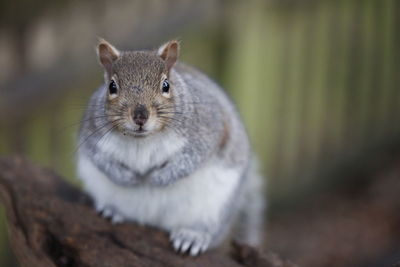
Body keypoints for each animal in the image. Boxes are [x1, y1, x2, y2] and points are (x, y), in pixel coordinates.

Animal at [77, 38, 266, 256]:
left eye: (166, 85)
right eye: (111, 86)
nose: (140, 116)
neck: (142, 140)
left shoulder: (209, 131)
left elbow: (191, 159)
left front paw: (157, 178)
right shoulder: (91, 136)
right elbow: (100, 159)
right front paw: (129, 178)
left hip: (215, 206)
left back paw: (193, 235)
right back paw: (112, 210)